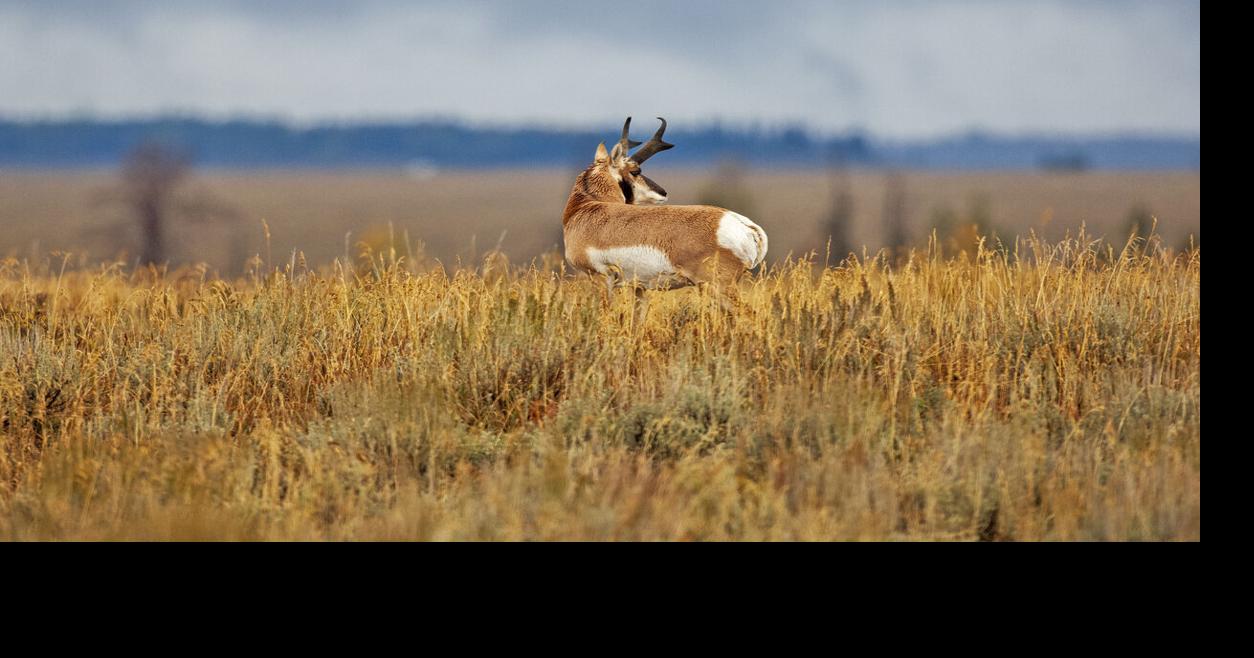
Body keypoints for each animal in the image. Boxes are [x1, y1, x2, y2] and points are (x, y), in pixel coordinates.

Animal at [566, 116, 762, 304]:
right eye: (636, 171)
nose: (663, 192)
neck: (588, 204)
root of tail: (742, 224)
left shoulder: (600, 279)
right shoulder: (639, 288)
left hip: (717, 288)